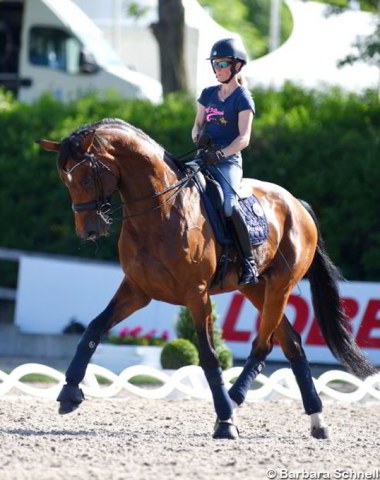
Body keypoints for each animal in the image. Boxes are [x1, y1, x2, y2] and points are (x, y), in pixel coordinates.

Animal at [38, 118, 378, 440]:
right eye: (65, 181)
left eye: (85, 178)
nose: (89, 230)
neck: (160, 211)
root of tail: (297, 204)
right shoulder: (137, 290)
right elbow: (93, 328)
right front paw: (69, 393)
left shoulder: (196, 294)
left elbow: (209, 356)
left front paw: (225, 423)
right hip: (255, 287)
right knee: (291, 343)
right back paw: (316, 420)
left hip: (281, 286)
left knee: (263, 344)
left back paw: (233, 404)